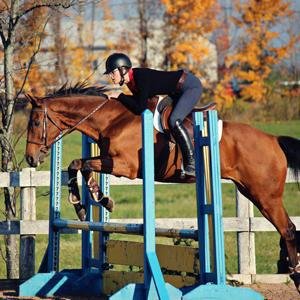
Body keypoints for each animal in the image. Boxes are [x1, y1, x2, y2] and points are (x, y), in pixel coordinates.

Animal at [25, 82, 300, 292]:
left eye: (36, 123)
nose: (30, 159)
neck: (113, 120)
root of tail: (273, 139)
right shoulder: (108, 160)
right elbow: (77, 165)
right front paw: (86, 203)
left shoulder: (123, 165)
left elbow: (82, 166)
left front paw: (99, 199)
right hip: (251, 191)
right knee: (287, 228)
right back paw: (289, 269)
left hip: (265, 195)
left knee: (287, 229)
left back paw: (294, 273)